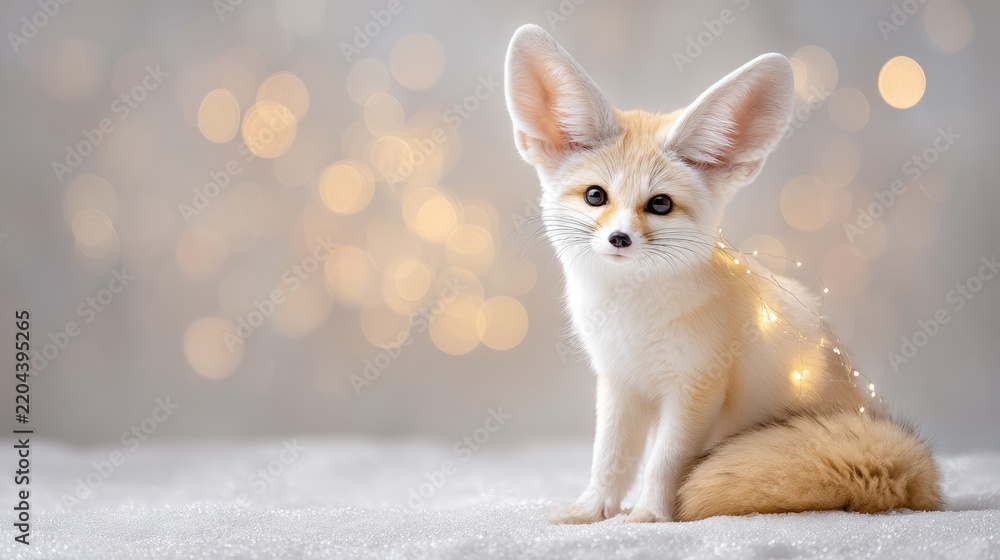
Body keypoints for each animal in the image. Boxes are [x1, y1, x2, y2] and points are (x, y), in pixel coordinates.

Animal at [503, 24, 942, 523]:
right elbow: (609, 459)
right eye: (596, 196)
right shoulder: (619, 383)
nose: (619, 239)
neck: (631, 316)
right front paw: (592, 511)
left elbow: (665, 463)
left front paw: (649, 516)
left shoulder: (697, 388)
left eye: (660, 204)